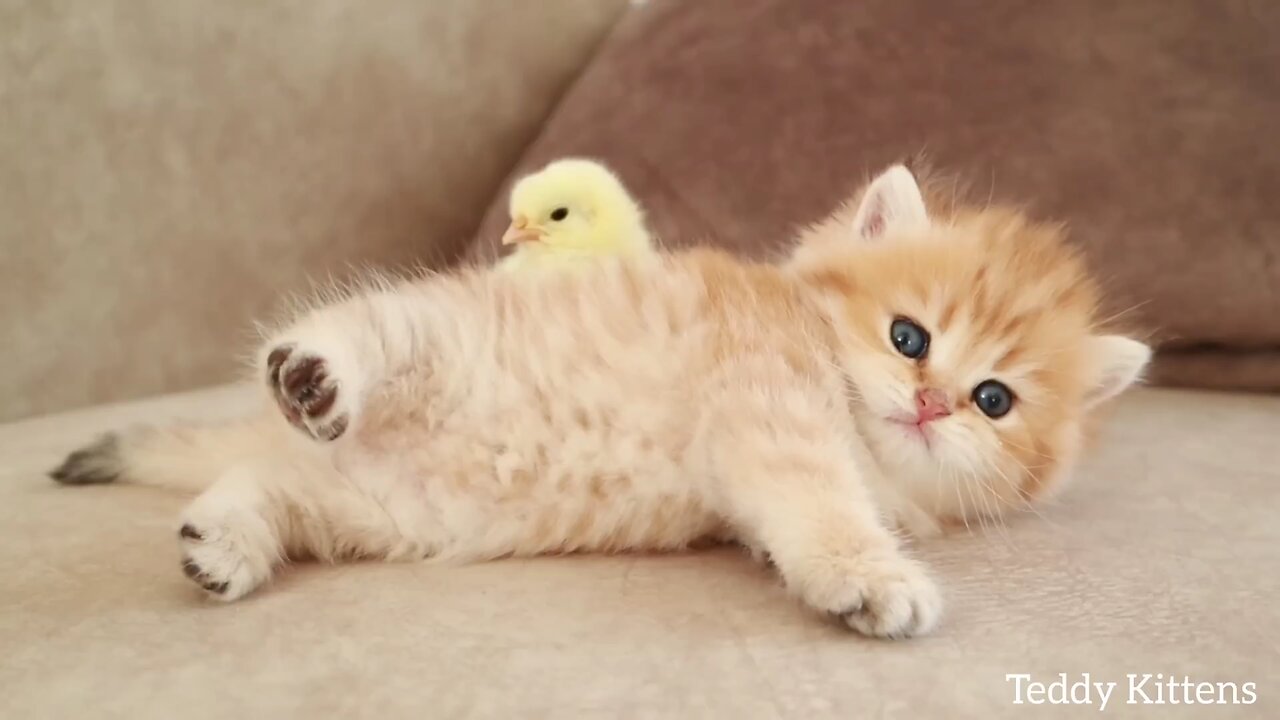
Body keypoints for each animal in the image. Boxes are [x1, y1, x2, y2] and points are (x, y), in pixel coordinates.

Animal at [49, 165, 1152, 635]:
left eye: (994, 400)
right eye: (908, 338)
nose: (931, 406)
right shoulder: (770, 410)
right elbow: (824, 503)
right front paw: (871, 578)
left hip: (368, 509)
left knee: (261, 476)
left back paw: (224, 545)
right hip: (430, 338)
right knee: (358, 335)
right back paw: (314, 375)